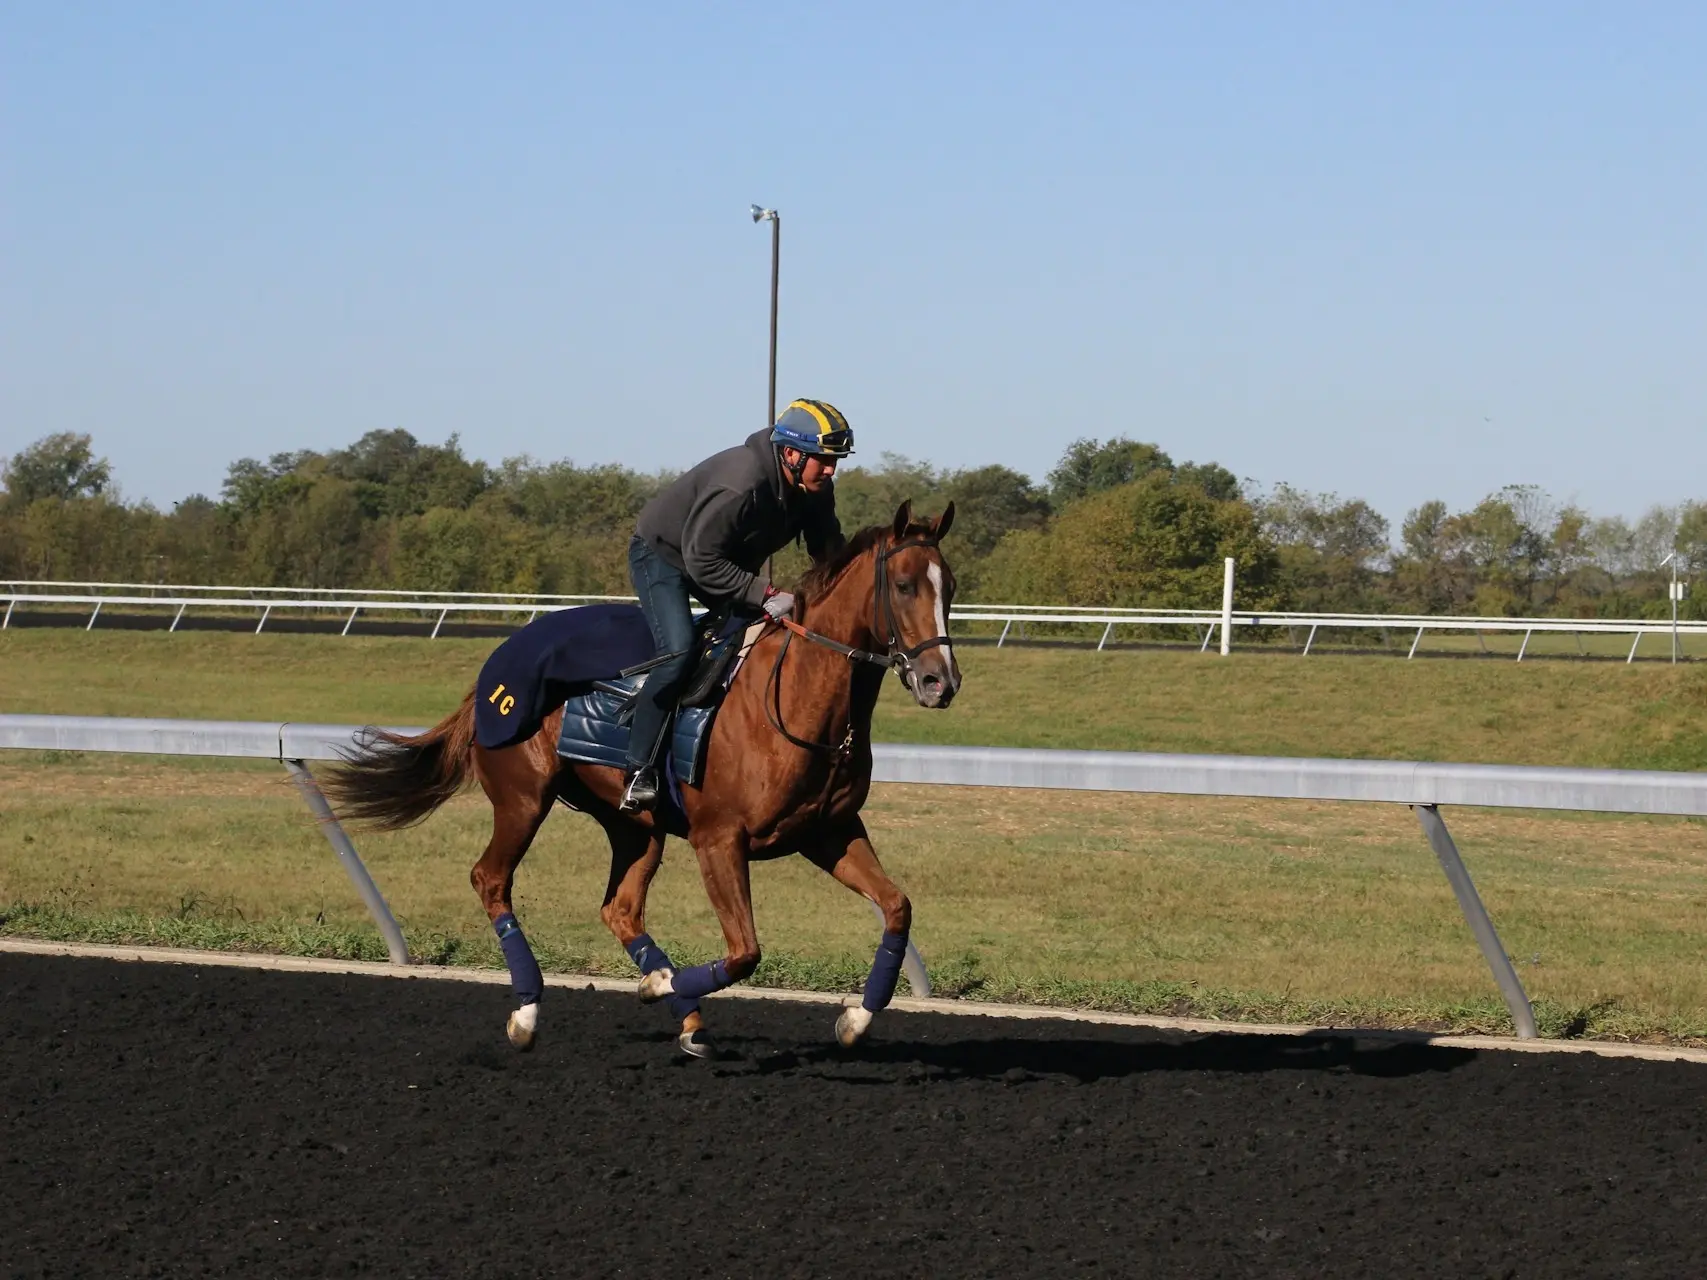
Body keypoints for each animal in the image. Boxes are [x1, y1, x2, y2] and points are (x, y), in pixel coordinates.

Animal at [322, 505, 962, 1058]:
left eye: (950, 587)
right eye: (904, 585)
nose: (941, 682)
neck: (795, 698)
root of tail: (492, 671)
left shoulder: (827, 831)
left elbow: (898, 907)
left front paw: (855, 1019)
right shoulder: (717, 839)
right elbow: (745, 952)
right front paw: (661, 985)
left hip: (634, 823)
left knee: (621, 908)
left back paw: (685, 1015)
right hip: (524, 797)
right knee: (491, 879)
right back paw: (530, 1011)